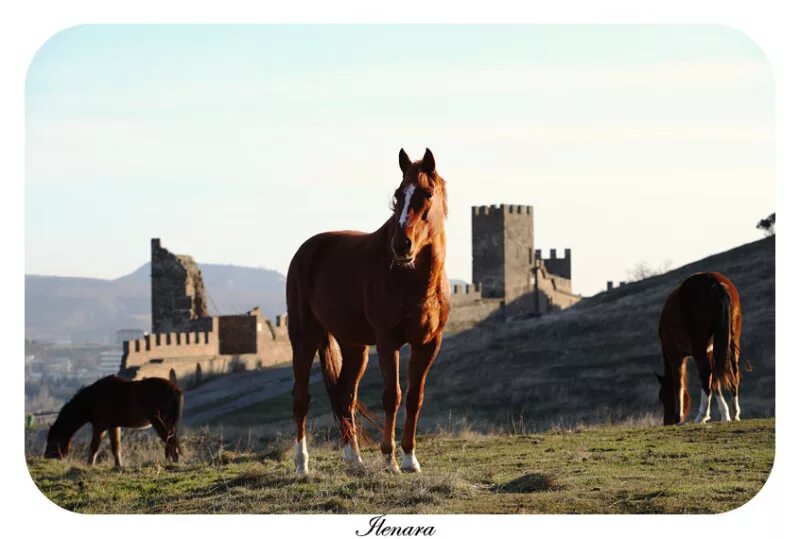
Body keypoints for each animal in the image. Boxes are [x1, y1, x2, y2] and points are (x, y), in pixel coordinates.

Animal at [44, 376, 184, 468]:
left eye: (52, 440)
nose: (46, 457)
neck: (92, 399)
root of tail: (175, 389)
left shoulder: (99, 426)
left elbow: (94, 446)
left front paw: (89, 465)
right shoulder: (114, 426)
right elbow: (116, 446)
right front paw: (118, 466)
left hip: (158, 421)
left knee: (169, 439)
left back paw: (173, 460)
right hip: (168, 422)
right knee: (172, 439)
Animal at [288, 147, 450, 472]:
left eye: (427, 193)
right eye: (399, 194)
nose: (401, 245)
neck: (414, 280)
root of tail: (305, 251)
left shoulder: (428, 343)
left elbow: (414, 397)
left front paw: (410, 458)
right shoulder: (388, 342)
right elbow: (392, 396)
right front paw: (389, 459)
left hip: (354, 347)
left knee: (344, 395)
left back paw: (353, 458)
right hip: (304, 339)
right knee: (302, 399)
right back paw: (302, 464)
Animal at [656, 274, 744, 426]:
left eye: (663, 396)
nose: (667, 422)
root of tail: (716, 283)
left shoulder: (675, 356)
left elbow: (679, 384)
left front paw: (679, 416)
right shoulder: (710, 351)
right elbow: (715, 382)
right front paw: (725, 414)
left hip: (699, 345)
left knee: (705, 372)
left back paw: (701, 415)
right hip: (732, 339)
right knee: (733, 371)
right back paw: (735, 412)